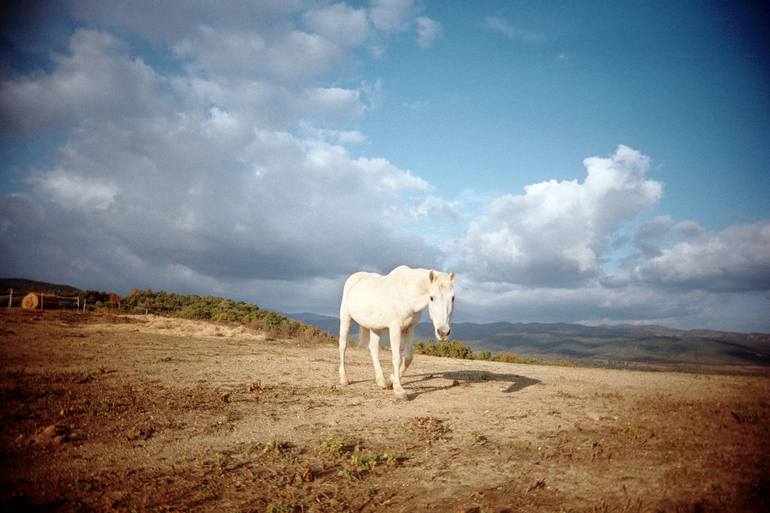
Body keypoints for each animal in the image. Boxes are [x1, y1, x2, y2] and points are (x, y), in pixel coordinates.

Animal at [338, 264, 456, 400]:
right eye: (431, 298)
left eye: (453, 298)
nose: (443, 332)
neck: (407, 292)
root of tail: (353, 278)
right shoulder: (395, 328)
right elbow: (397, 357)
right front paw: (399, 390)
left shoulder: (409, 328)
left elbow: (408, 358)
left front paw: (391, 381)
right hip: (346, 318)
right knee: (343, 347)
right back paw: (344, 379)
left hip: (375, 328)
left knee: (373, 349)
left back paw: (381, 381)